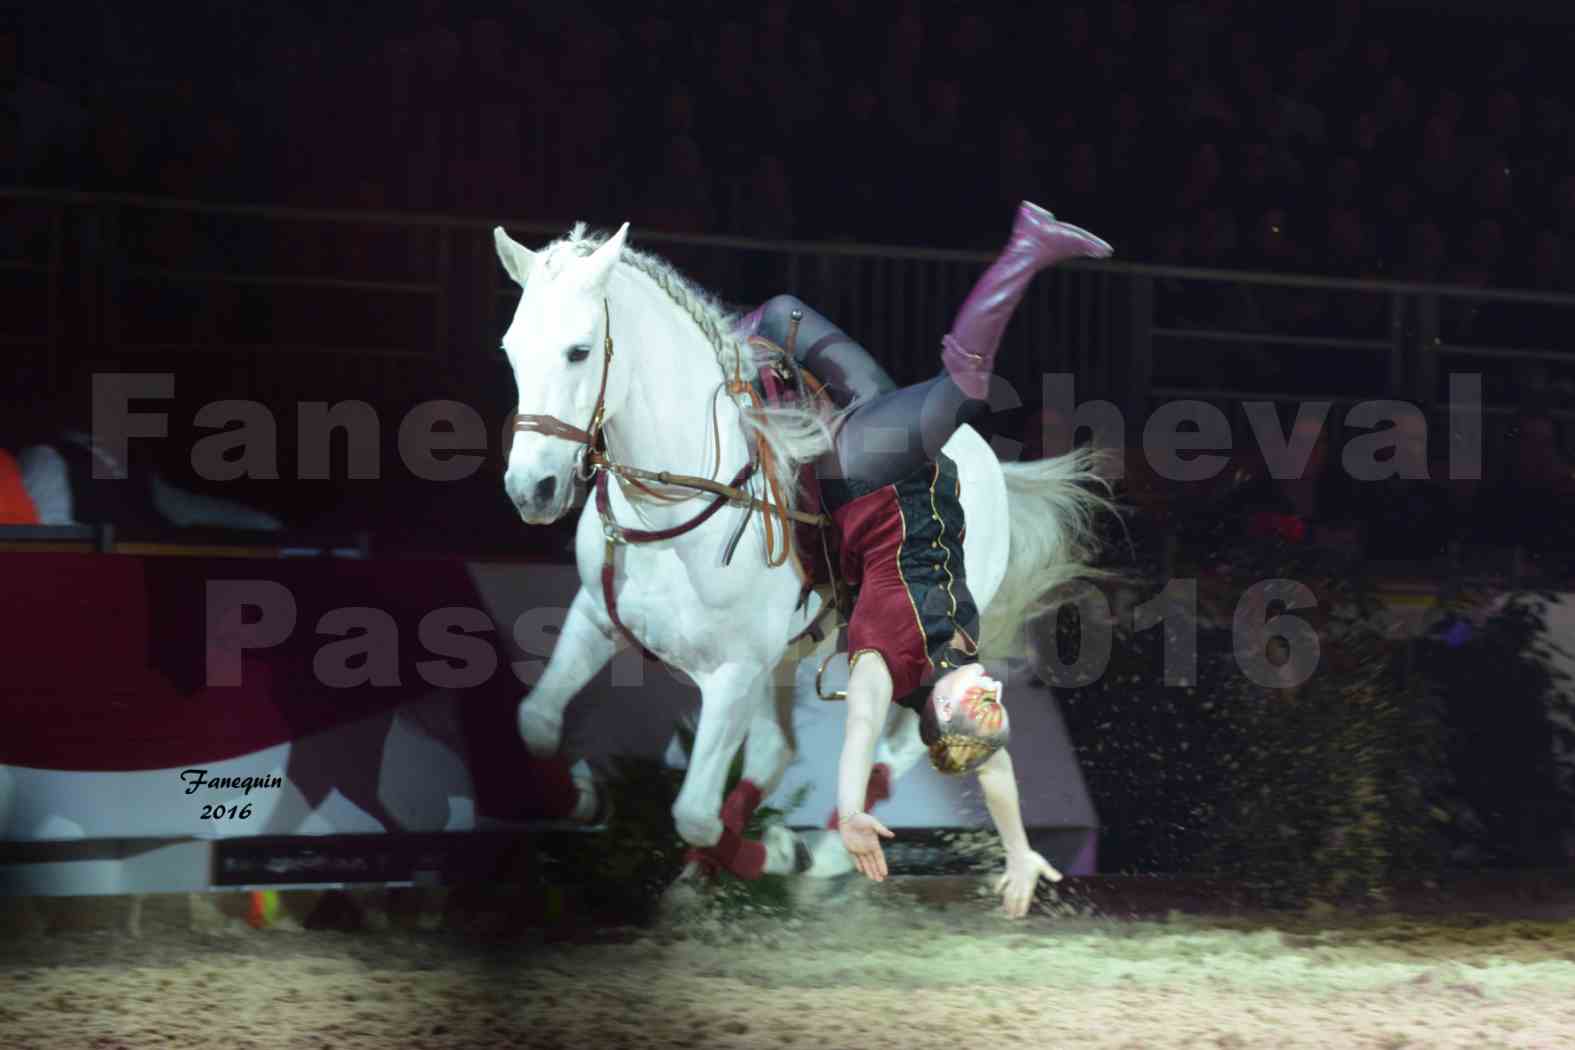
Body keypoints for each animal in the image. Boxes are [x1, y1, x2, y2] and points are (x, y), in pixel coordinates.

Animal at [491, 226, 1108, 881]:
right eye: (512, 351)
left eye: (579, 352)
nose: (531, 489)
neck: (680, 511)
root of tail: (987, 460)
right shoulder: (596, 618)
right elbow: (535, 721)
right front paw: (584, 796)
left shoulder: (733, 675)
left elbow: (695, 813)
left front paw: (779, 853)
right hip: (787, 653)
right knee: (776, 749)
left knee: (895, 747)